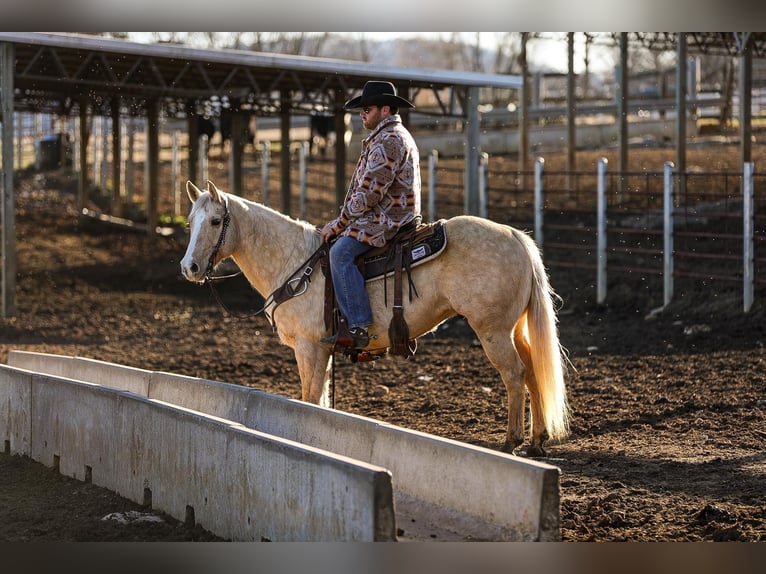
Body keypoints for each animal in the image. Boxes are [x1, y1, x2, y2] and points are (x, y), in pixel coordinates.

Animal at [182, 182, 568, 456]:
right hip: (514, 328)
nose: (189, 267)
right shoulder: (318, 351)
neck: (295, 263)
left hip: (493, 331)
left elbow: (310, 398)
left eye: (215, 221)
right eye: (189, 222)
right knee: (533, 369)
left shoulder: (309, 347)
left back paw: (512, 441)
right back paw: (537, 440)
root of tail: (517, 237)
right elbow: (320, 398)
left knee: (514, 374)